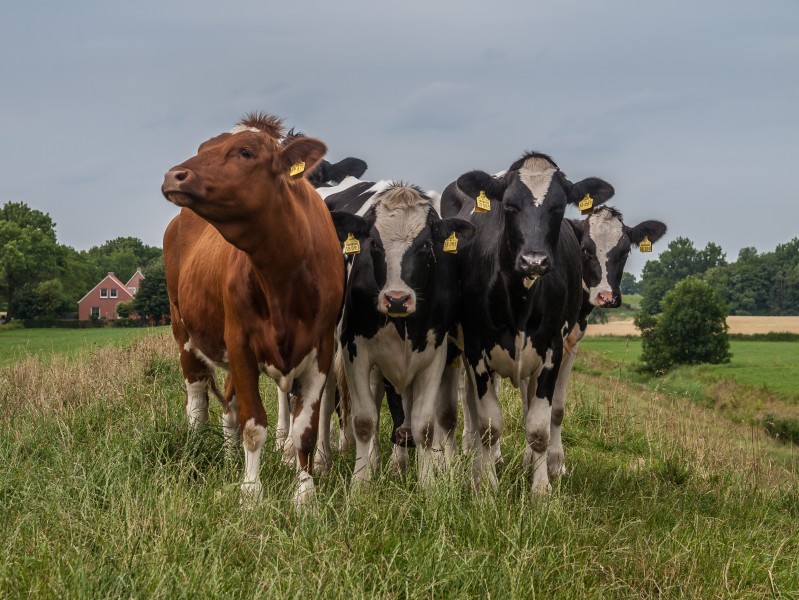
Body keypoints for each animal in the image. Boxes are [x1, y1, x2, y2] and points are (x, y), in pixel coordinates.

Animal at [161, 112, 344, 511]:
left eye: (245, 152)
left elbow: (305, 430)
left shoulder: (322, 348)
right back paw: (195, 453)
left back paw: (229, 460)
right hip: (184, 333)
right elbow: (253, 425)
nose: (173, 175)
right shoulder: (241, 344)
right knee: (197, 405)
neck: (283, 272)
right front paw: (250, 492)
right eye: (203, 148)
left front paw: (304, 494)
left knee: (227, 408)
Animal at [323, 179, 474, 485]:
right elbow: (364, 421)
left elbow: (424, 426)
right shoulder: (355, 351)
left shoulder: (434, 356)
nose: (396, 299)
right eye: (374, 244)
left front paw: (428, 483)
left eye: (426, 245)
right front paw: (361, 482)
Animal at [440, 151, 614, 493]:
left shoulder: (552, 350)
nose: (534, 260)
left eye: (558, 206)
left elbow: (538, 429)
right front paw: (487, 484)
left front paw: (540, 488)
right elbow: (488, 425)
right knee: (469, 410)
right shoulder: (477, 350)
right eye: (509, 205)